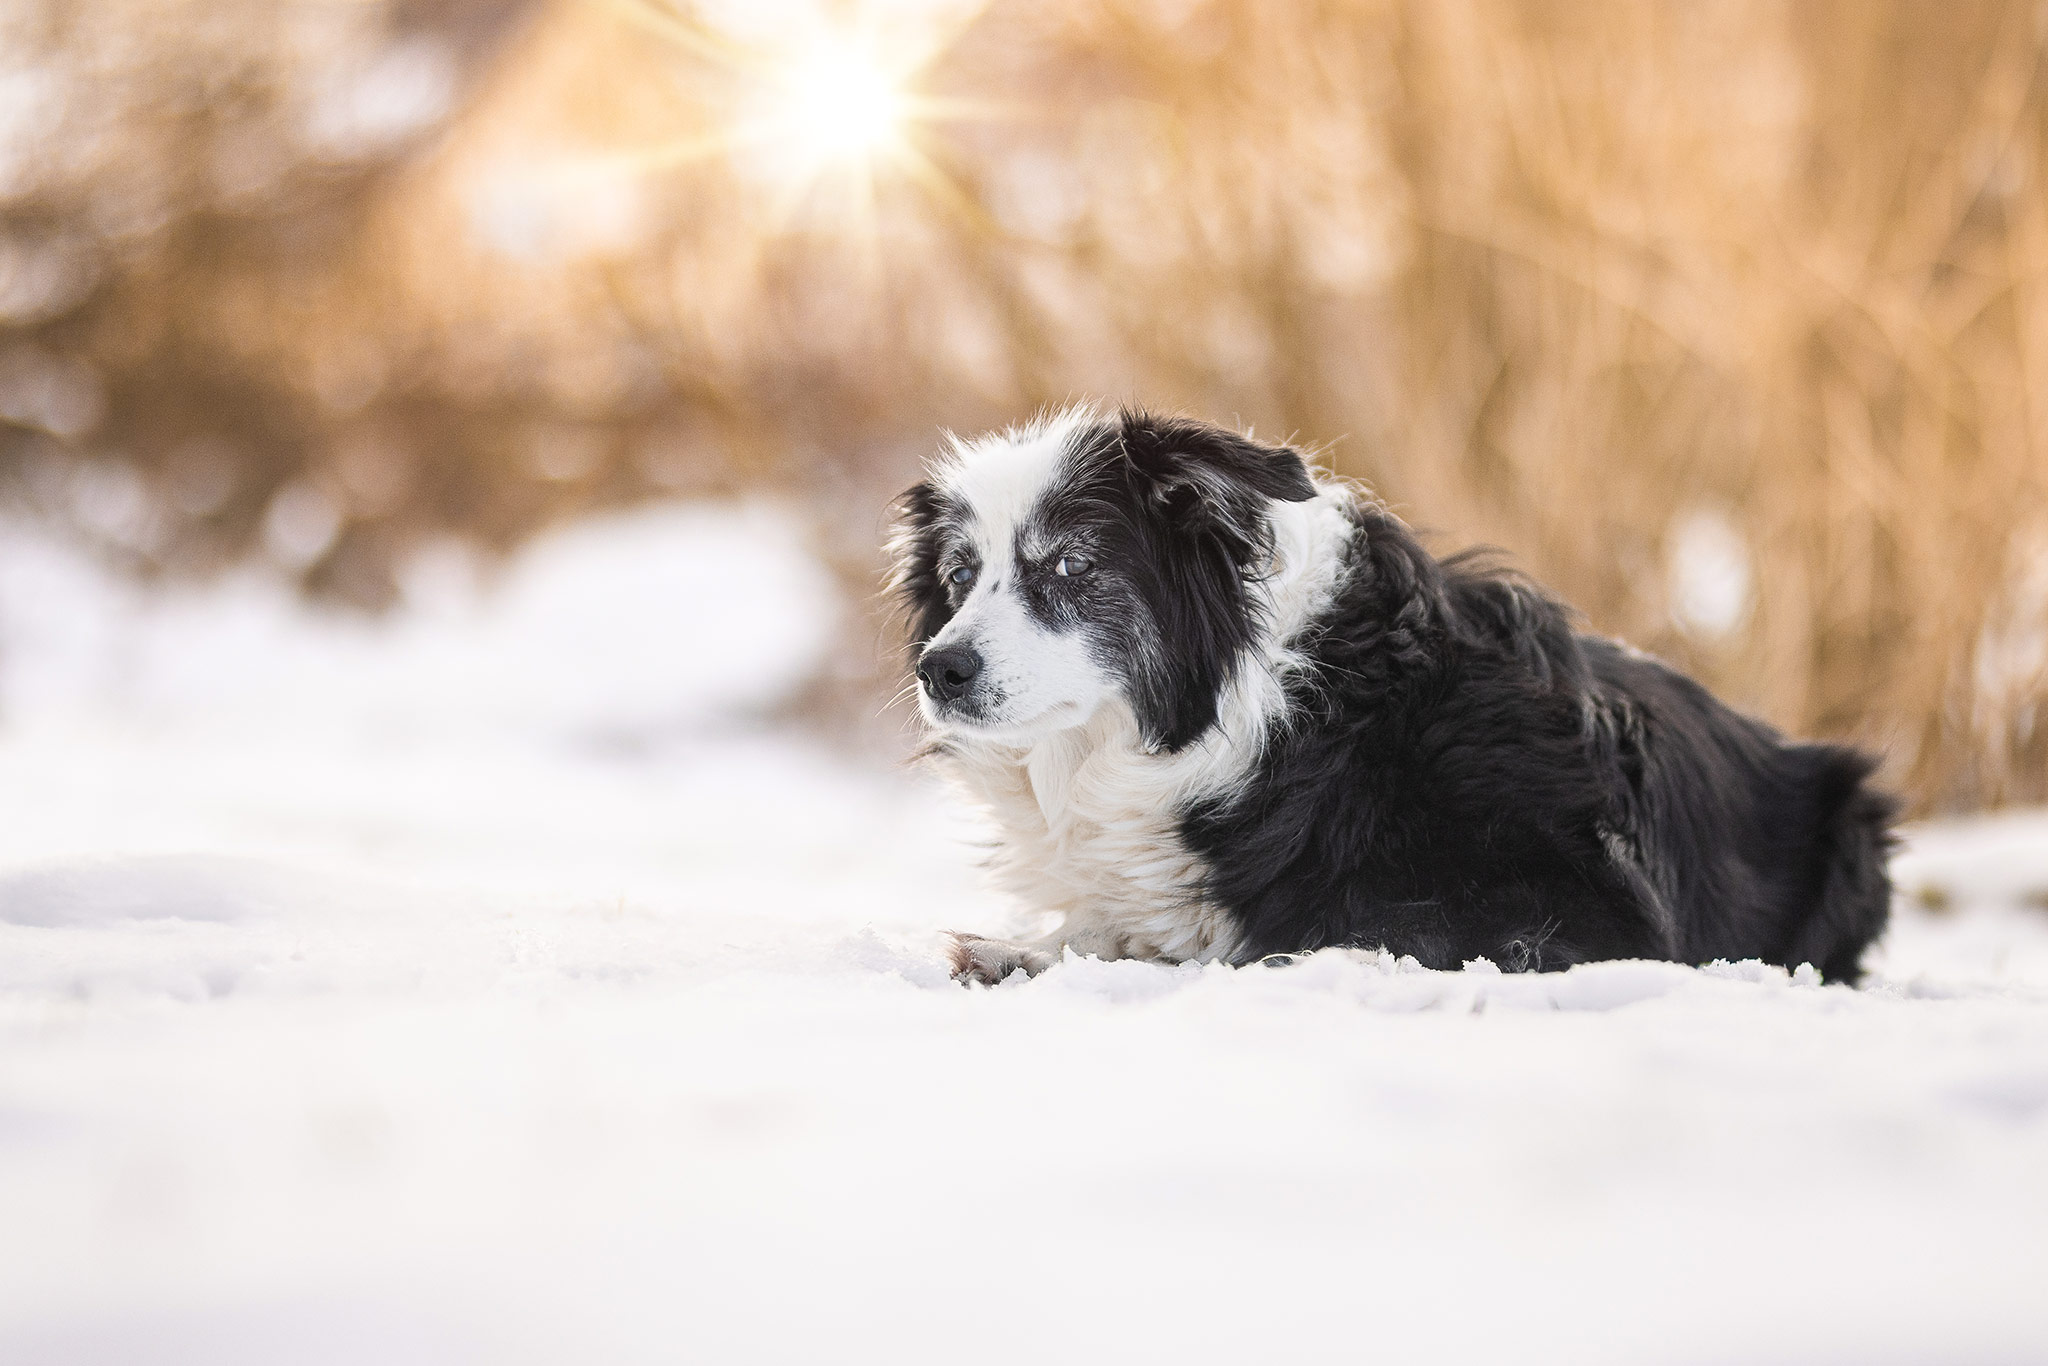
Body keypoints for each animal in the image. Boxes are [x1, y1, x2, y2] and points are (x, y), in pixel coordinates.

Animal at [888, 403, 1892, 983]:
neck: (1293, 723)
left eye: (1071, 565)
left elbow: (1346, 934)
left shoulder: (1590, 906)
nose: (940, 668)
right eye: (962, 574)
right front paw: (1020, 948)